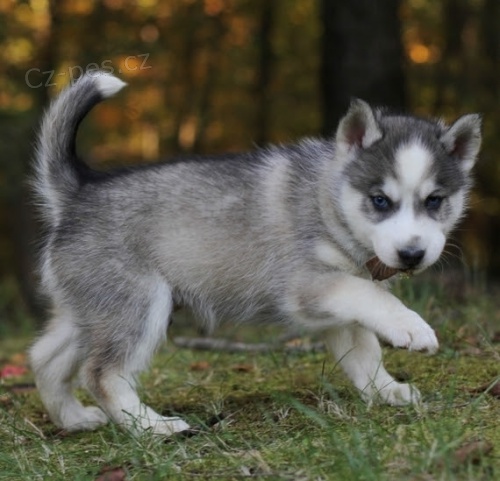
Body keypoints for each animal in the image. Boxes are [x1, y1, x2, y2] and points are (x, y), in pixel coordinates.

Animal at [29, 72, 482, 436]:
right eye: (380, 201)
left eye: (435, 201)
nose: (412, 254)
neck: (327, 201)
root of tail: (77, 193)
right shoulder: (310, 284)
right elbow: (374, 299)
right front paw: (411, 328)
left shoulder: (337, 302)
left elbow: (363, 351)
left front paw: (387, 391)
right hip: (139, 306)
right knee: (101, 374)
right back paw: (153, 427)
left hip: (90, 311)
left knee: (44, 357)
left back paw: (74, 419)